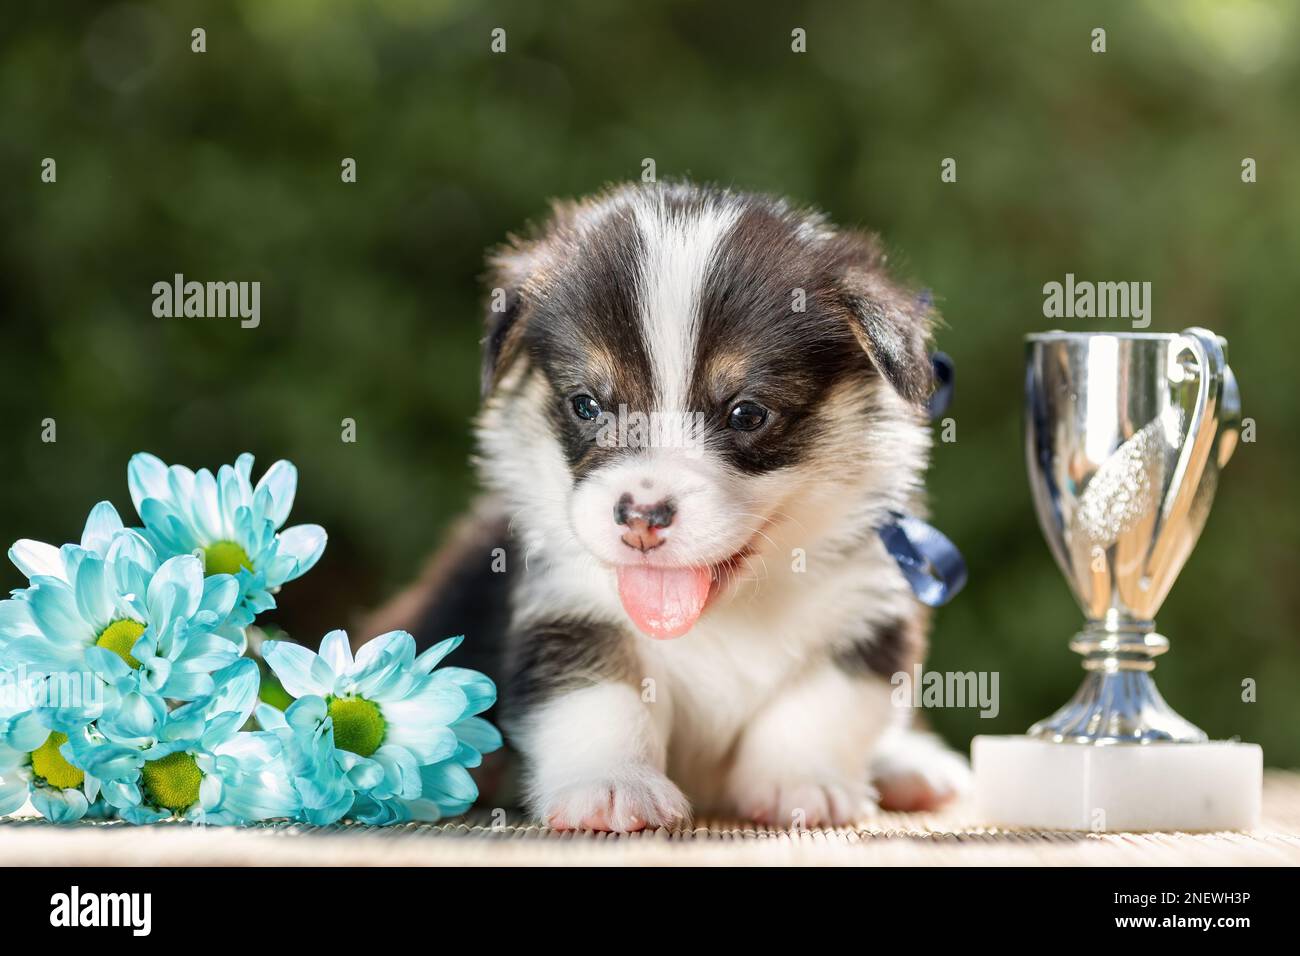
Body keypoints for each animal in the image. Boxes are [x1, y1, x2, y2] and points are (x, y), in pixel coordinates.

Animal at [371, 183, 972, 832]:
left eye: (746, 413)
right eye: (586, 404)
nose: (641, 518)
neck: (727, 614)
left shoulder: (868, 611)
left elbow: (820, 704)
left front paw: (801, 784)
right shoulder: (571, 611)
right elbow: (600, 700)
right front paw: (613, 786)